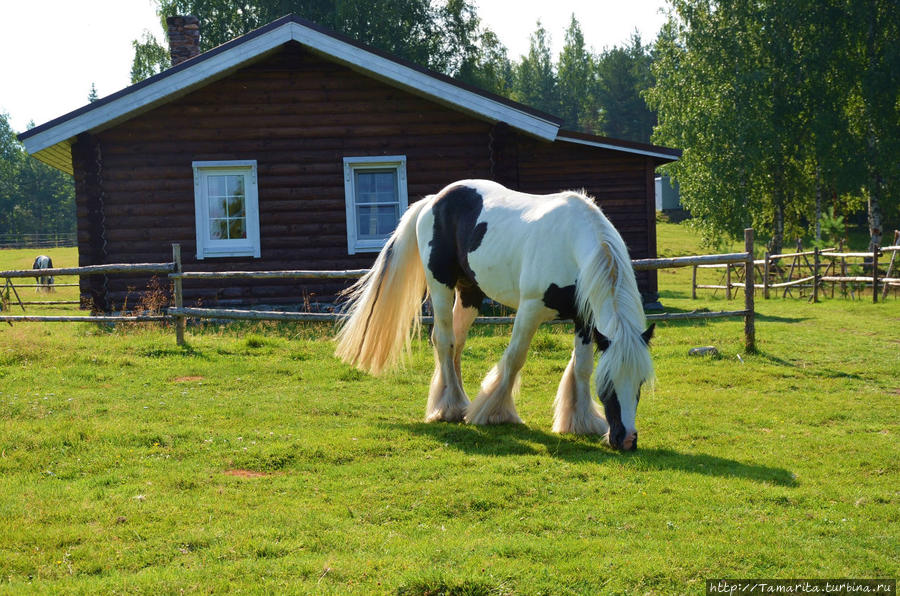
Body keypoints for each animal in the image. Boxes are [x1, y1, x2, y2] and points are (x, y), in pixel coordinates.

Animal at [336, 179, 652, 450]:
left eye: (640, 382)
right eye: (609, 384)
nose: (626, 440)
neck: (572, 243)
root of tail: (433, 200)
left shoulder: (584, 319)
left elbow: (582, 368)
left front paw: (581, 421)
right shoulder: (530, 309)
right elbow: (515, 358)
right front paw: (495, 413)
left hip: (470, 293)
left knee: (457, 342)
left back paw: (458, 401)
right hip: (441, 285)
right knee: (444, 341)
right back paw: (451, 408)